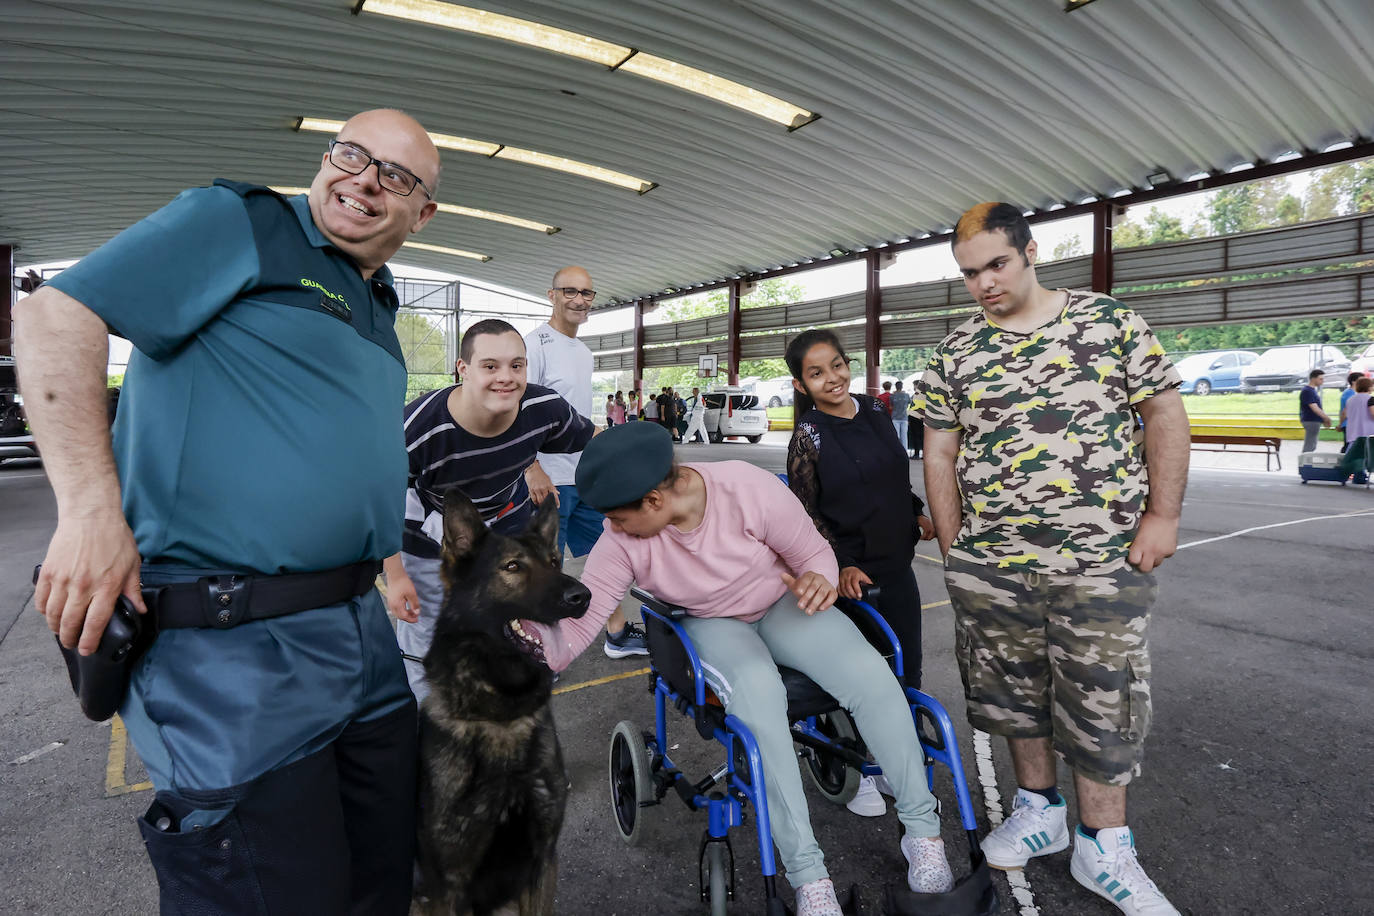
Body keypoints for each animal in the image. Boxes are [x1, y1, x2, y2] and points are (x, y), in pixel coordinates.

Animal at [414, 491, 593, 916]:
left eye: (554, 562)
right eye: (513, 567)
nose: (583, 597)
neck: (502, 715)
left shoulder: (542, 860)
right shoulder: (447, 885)